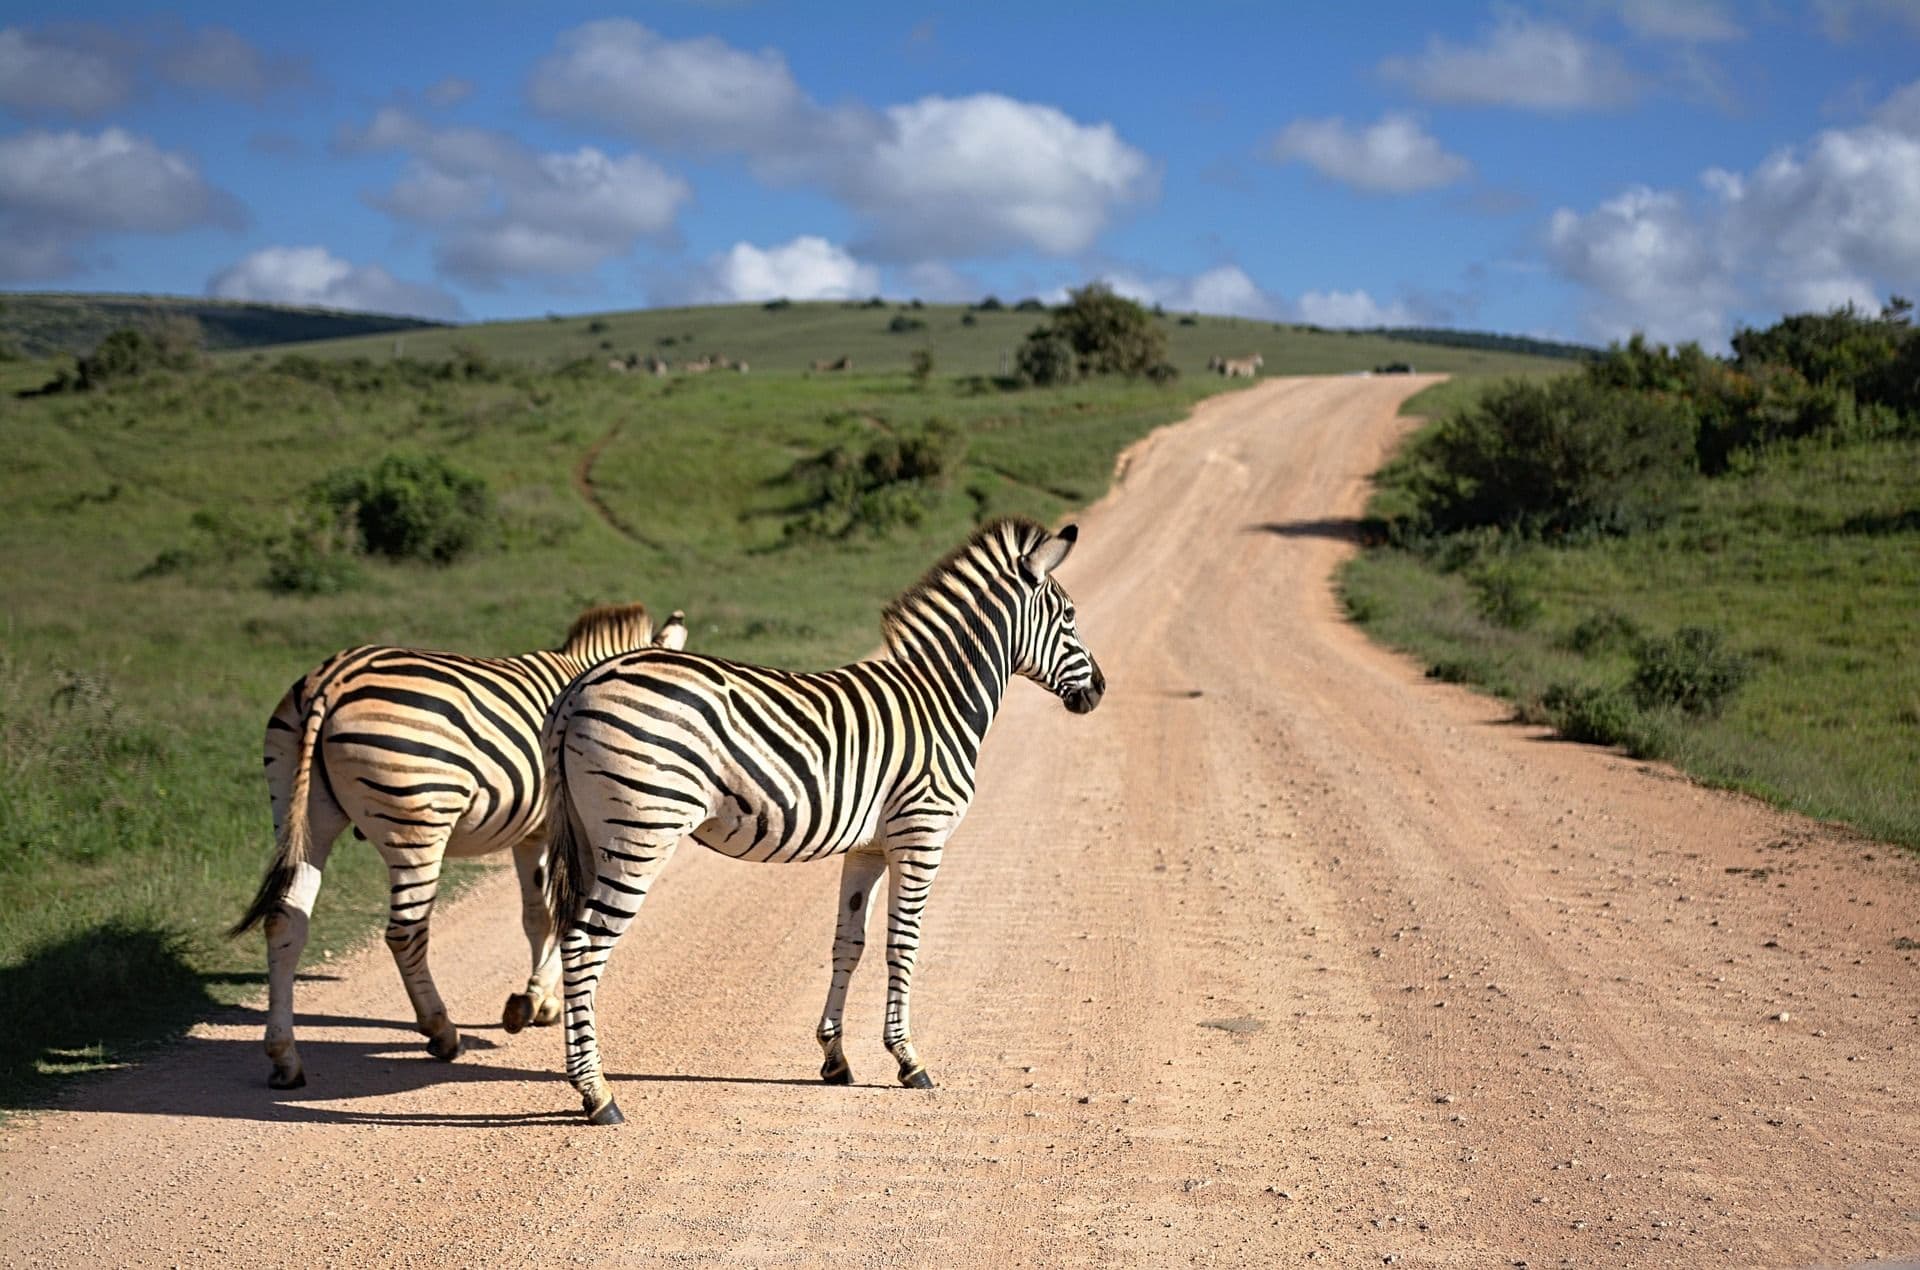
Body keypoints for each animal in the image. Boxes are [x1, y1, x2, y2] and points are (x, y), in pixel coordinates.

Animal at [230, 602, 688, 1090]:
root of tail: (331, 681)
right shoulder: (562, 829)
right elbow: (561, 916)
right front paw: (534, 999)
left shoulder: (533, 833)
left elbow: (538, 916)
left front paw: (539, 1002)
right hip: (416, 823)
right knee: (405, 932)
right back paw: (441, 1031)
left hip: (300, 812)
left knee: (285, 921)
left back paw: (285, 1057)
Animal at [541, 517, 1105, 1125]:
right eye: (1069, 616)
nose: (1099, 690)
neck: (942, 700)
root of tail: (581, 686)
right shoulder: (921, 834)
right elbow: (903, 944)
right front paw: (909, 1061)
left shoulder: (869, 848)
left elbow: (848, 943)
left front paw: (835, 1059)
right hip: (641, 833)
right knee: (584, 945)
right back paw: (598, 1094)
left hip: (595, 836)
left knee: (571, 937)